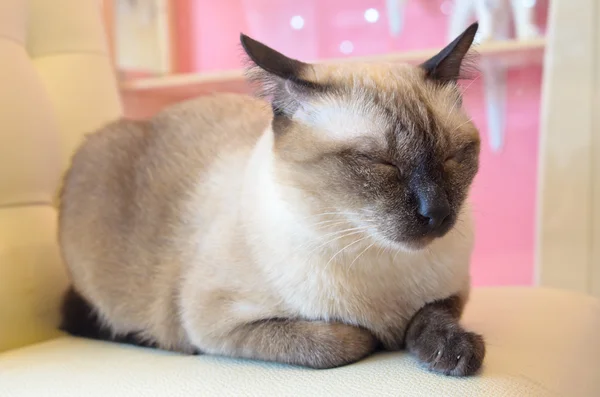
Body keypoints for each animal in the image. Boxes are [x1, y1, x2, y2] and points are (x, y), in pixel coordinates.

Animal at [58, 23, 486, 376]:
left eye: (453, 156)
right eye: (381, 163)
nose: (437, 213)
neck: (374, 253)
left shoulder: (454, 291)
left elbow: (429, 315)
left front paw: (454, 351)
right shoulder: (213, 323)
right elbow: (342, 341)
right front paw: (379, 338)